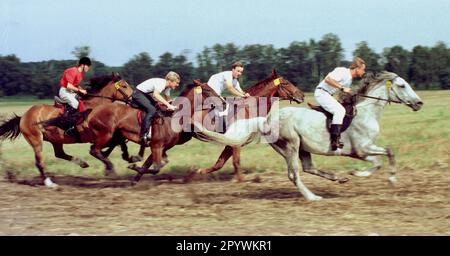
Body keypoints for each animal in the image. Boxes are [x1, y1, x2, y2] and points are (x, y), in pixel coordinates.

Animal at [0, 73, 134, 186]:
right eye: (124, 86)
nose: (133, 99)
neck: (96, 106)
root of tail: (23, 116)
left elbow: (117, 142)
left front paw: (126, 158)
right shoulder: (98, 135)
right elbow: (109, 145)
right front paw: (110, 166)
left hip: (56, 139)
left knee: (59, 154)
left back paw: (81, 163)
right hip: (36, 140)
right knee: (39, 162)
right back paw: (49, 183)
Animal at [83, 80, 223, 180]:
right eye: (207, 89)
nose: (223, 102)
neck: (173, 116)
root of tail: (93, 111)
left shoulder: (160, 147)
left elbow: (153, 165)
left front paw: (135, 178)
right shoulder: (156, 146)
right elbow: (156, 168)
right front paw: (134, 167)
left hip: (114, 136)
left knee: (99, 150)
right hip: (106, 134)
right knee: (94, 150)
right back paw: (110, 167)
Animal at [195, 71, 424, 201]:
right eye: (402, 85)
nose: (419, 103)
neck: (367, 112)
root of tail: (267, 120)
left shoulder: (364, 150)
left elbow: (384, 157)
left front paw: (374, 177)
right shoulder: (362, 149)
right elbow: (385, 156)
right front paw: (373, 176)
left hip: (301, 148)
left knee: (308, 168)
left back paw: (337, 178)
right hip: (292, 145)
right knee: (294, 174)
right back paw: (313, 196)